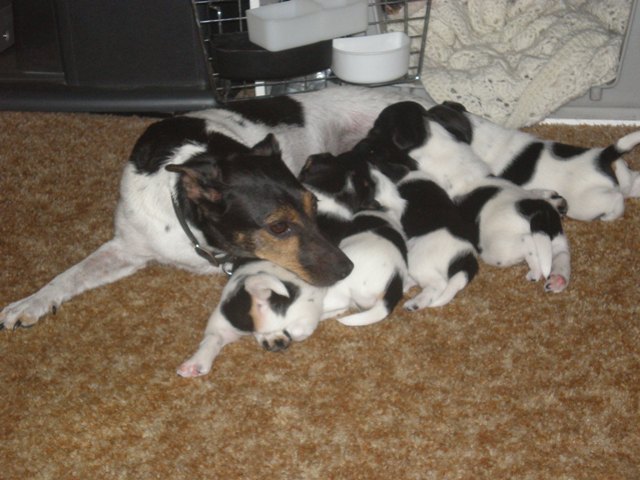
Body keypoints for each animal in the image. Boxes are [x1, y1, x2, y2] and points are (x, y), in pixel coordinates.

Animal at [372, 101, 572, 292]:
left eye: (378, 126)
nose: (368, 135)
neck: (435, 137)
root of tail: (536, 211)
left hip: (498, 250)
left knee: (528, 243)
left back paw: (536, 271)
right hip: (555, 237)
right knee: (561, 254)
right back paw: (558, 278)